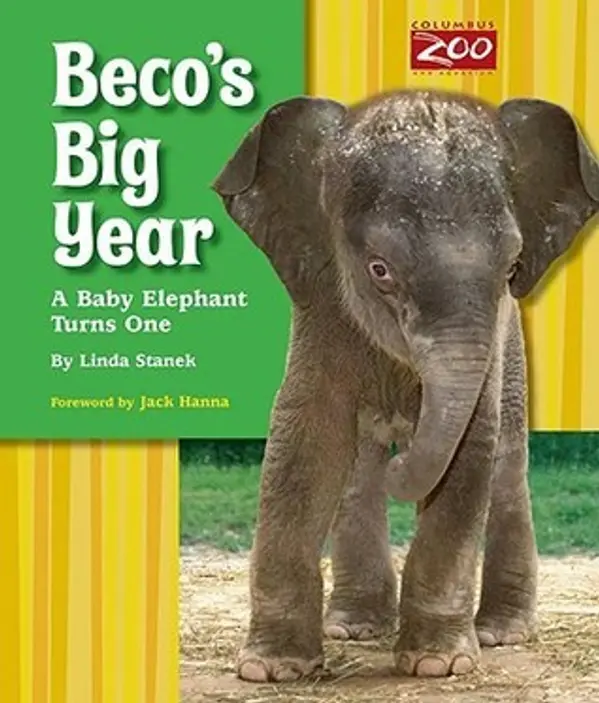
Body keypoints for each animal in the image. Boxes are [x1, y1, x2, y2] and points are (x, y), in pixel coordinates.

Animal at [212, 89, 599, 682]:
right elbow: (304, 441)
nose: (404, 462)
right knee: (359, 470)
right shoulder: (321, 307)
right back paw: (355, 627)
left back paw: (499, 634)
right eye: (379, 270)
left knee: (506, 464)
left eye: (513, 267)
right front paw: (271, 671)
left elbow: (472, 448)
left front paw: (438, 664)